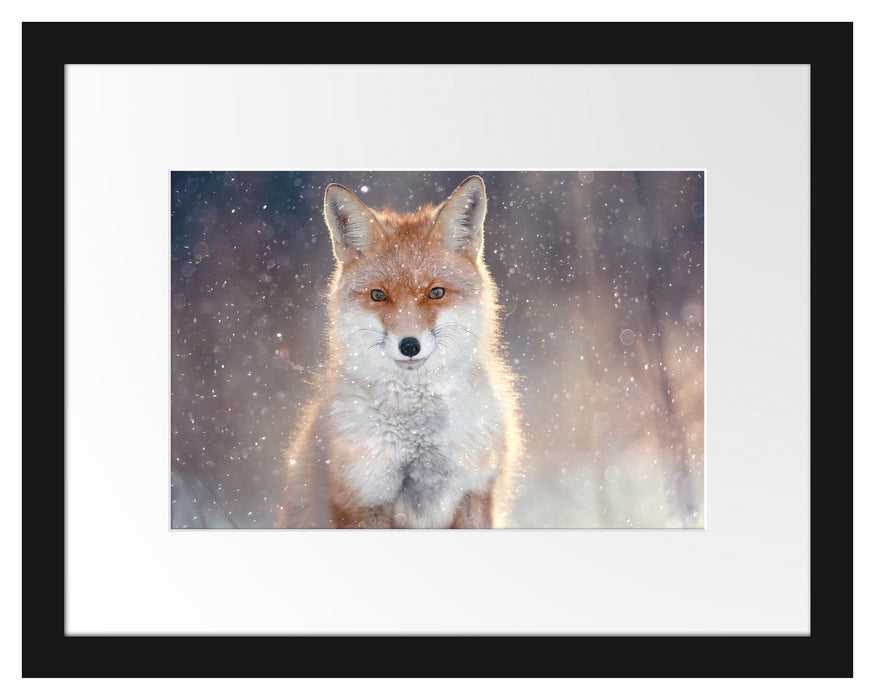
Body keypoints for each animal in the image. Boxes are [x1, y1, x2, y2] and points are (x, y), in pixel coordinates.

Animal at [275, 175, 523, 528]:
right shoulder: (362, 498)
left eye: (436, 293)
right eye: (378, 295)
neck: (417, 435)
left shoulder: (474, 491)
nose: (409, 345)